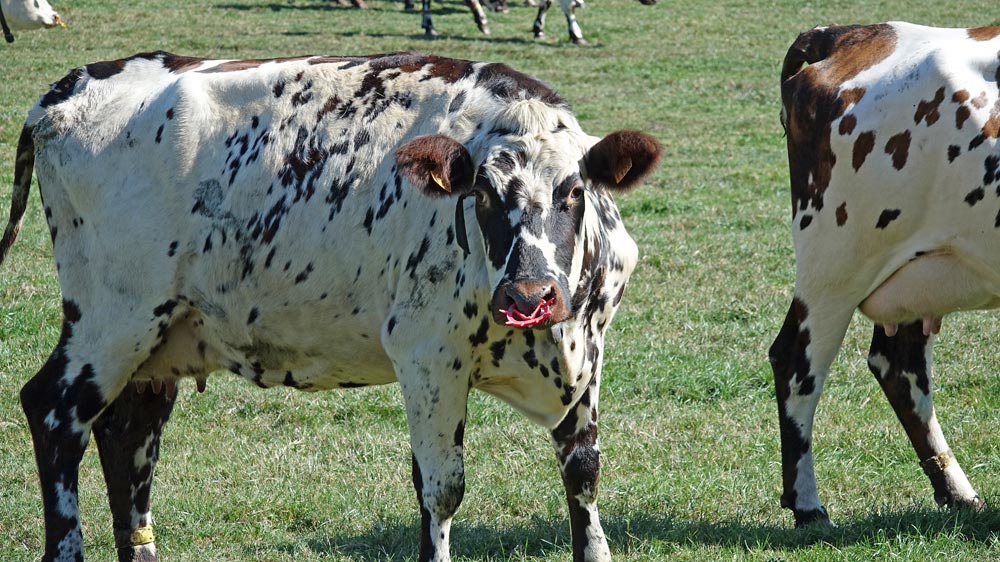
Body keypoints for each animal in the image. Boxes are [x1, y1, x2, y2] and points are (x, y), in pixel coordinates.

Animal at [0, 50, 662, 562]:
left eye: (573, 191)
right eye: (483, 194)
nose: (528, 296)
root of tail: (69, 88)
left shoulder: (590, 353)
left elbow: (583, 472)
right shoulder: (428, 357)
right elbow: (441, 489)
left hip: (159, 340)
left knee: (127, 433)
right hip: (113, 320)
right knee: (54, 412)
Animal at [771, 21, 1000, 527]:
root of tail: (847, 33)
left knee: (899, 366)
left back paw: (958, 493)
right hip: (836, 263)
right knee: (796, 362)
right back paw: (809, 507)